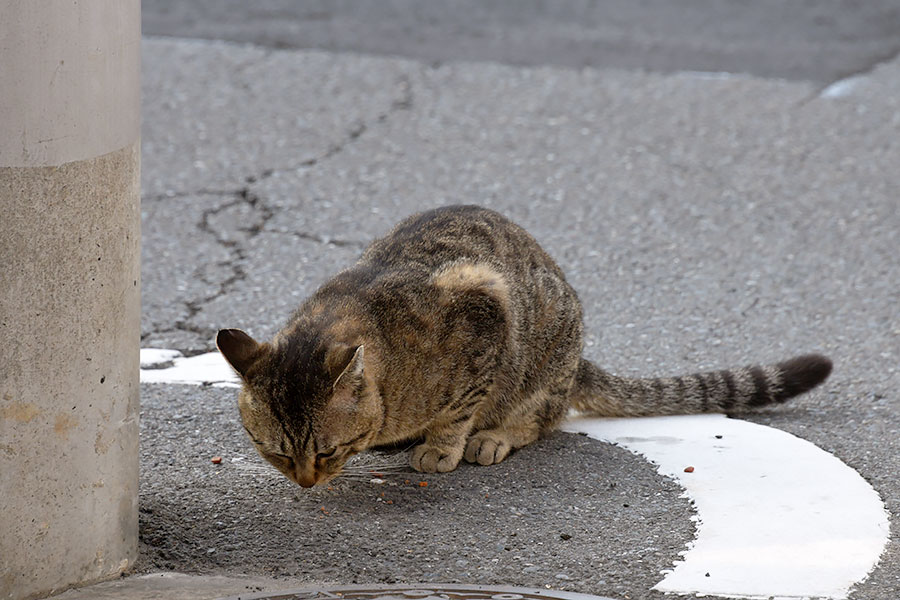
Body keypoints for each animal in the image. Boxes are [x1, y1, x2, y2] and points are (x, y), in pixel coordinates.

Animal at [216, 205, 828, 488]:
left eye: (325, 452)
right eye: (275, 452)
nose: (306, 482)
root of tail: (578, 358)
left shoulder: (485, 307)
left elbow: (461, 405)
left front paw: (443, 447)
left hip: (547, 346)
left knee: (543, 417)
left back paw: (493, 436)